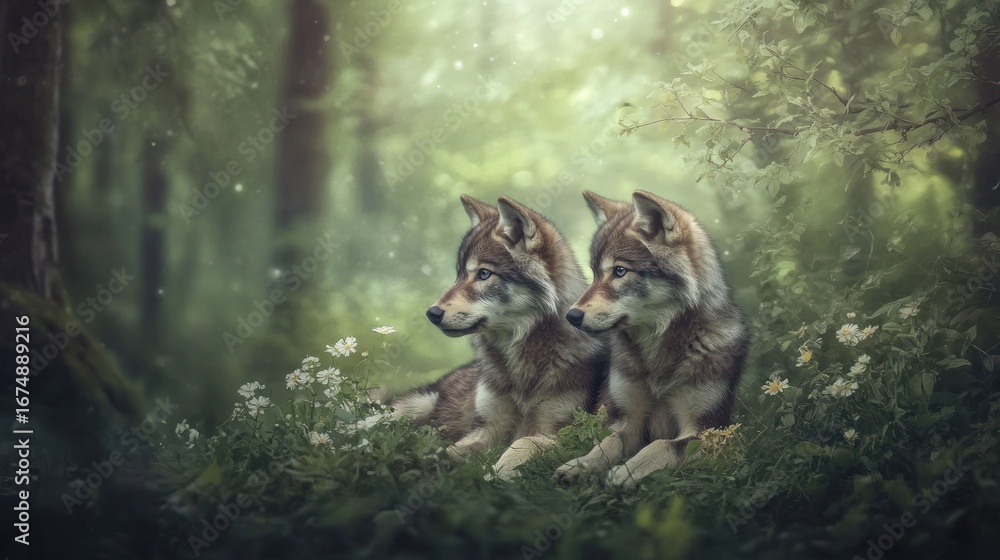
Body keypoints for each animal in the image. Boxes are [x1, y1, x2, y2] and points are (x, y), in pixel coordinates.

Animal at [390, 194, 608, 479]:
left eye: (483, 274)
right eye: (459, 274)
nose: (431, 313)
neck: (521, 366)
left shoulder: (565, 431)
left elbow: (524, 442)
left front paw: (498, 472)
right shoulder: (487, 428)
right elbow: (447, 452)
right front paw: (420, 466)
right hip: (411, 409)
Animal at [553, 190, 749, 490]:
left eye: (620, 271)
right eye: (595, 273)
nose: (571, 316)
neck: (657, 354)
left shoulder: (711, 431)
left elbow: (664, 444)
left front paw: (628, 470)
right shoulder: (627, 420)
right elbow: (607, 443)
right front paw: (580, 465)